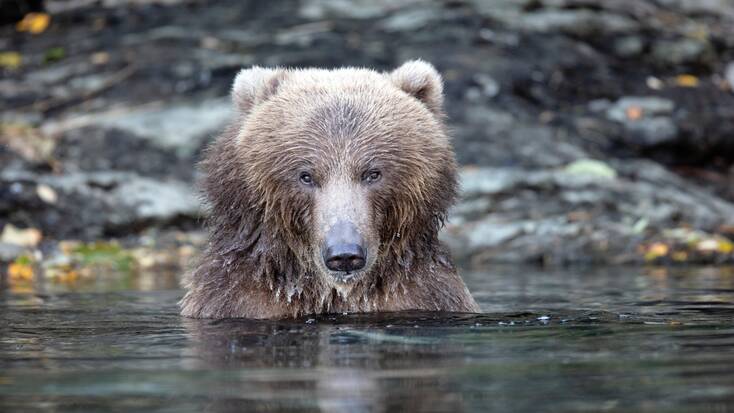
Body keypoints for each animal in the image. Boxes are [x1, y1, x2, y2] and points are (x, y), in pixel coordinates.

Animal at [180, 60, 480, 318]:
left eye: (372, 173)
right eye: (306, 176)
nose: (344, 254)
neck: (333, 293)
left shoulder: (424, 295)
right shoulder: (239, 299)